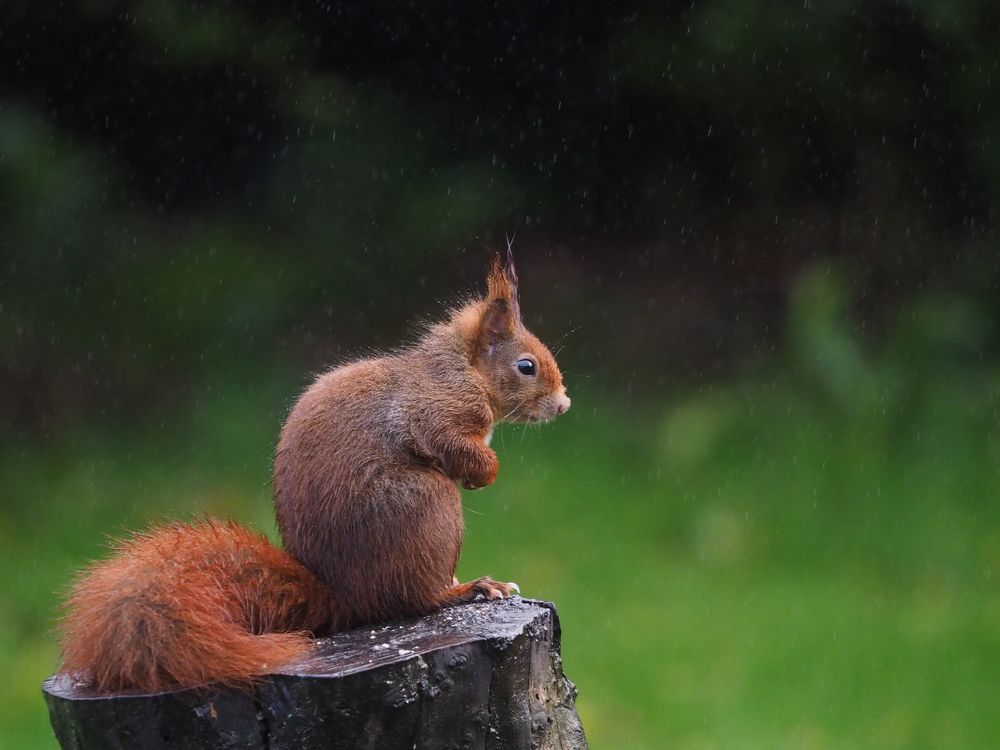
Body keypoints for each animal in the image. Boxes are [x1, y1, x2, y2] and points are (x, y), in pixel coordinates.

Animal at [58, 251, 572, 692]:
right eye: (526, 366)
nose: (564, 405)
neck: (462, 368)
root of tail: (342, 598)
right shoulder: (434, 411)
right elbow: (449, 443)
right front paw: (487, 473)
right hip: (427, 506)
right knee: (414, 601)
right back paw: (471, 589)